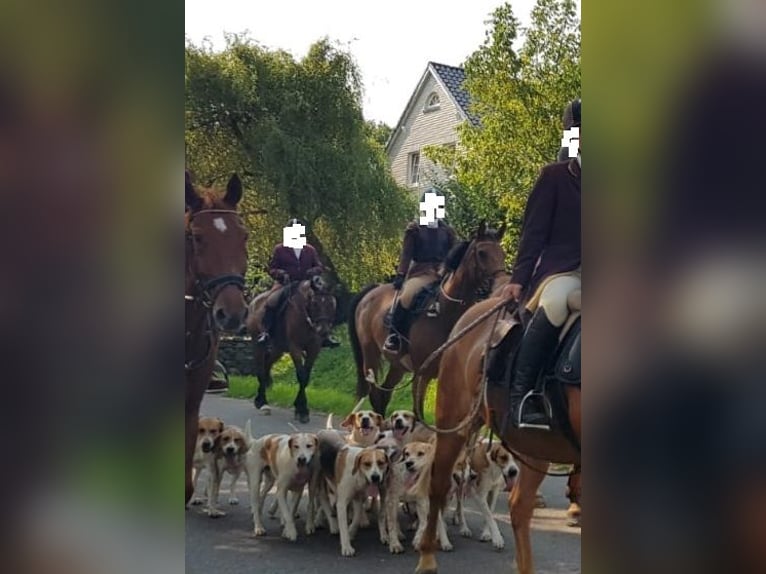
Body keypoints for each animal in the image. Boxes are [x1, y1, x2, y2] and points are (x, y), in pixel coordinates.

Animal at [246, 276, 336, 426]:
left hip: (279, 348)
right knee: (260, 368)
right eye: (315, 303)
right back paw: (263, 402)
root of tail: (254, 302)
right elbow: (301, 375)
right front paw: (302, 410)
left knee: (267, 365)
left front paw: (300, 408)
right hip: (258, 344)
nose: (323, 331)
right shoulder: (295, 348)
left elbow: (306, 377)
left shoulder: (314, 348)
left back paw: (260, 397)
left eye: (332, 304)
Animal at [350, 222, 508, 418]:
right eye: (481, 253)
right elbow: (418, 414)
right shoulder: (422, 374)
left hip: (397, 366)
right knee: (375, 394)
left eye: (502, 254)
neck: (446, 312)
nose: (498, 284)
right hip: (370, 356)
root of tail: (371, 292)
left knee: (384, 394)